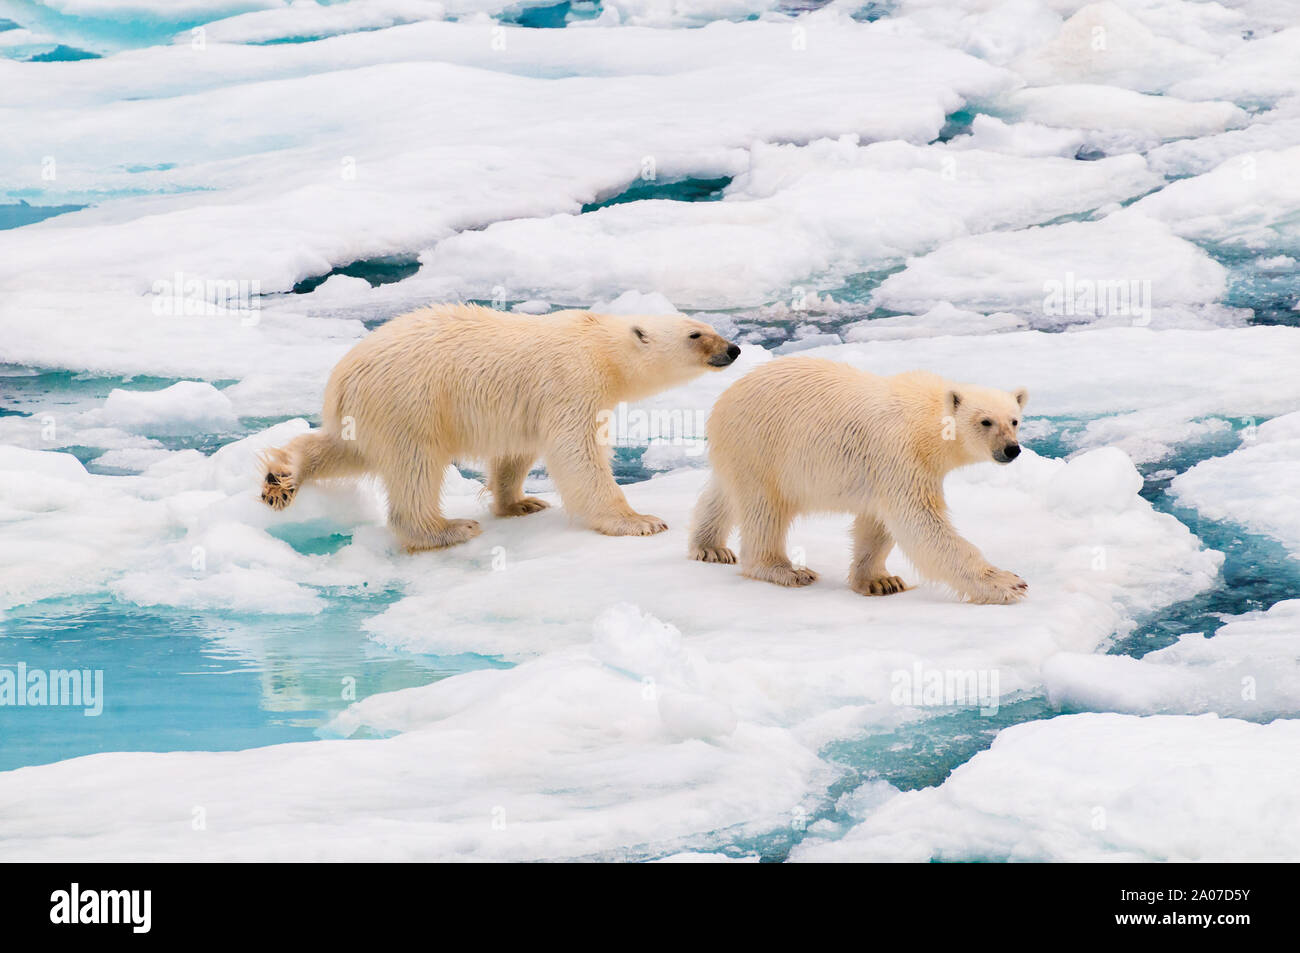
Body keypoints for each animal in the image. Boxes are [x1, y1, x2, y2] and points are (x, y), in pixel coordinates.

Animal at [261, 304, 743, 551]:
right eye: (696, 335)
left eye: (711, 326)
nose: (735, 349)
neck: (600, 346)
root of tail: (342, 376)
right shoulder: (571, 380)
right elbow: (576, 451)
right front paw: (639, 521)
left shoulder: (527, 404)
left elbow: (518, 449)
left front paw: (520, 502)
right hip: (409, 402)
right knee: (415, 465)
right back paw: (446, 529)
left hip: (368, 412)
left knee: (345, 449)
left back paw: (280, 477)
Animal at [686, 356, 1029, 603]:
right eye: (985, 421)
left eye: (1014, 420)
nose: (1011, 449)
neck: (926, 422)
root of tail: (726, 397)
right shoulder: (900, 454)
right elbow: (920, 522)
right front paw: (1007, 583)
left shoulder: (893, 468)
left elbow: (877, 524)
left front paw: (881, 581)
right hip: (761, 445)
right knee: (764, 508)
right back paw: (785, 570)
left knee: (723, 493)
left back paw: (710, 547)